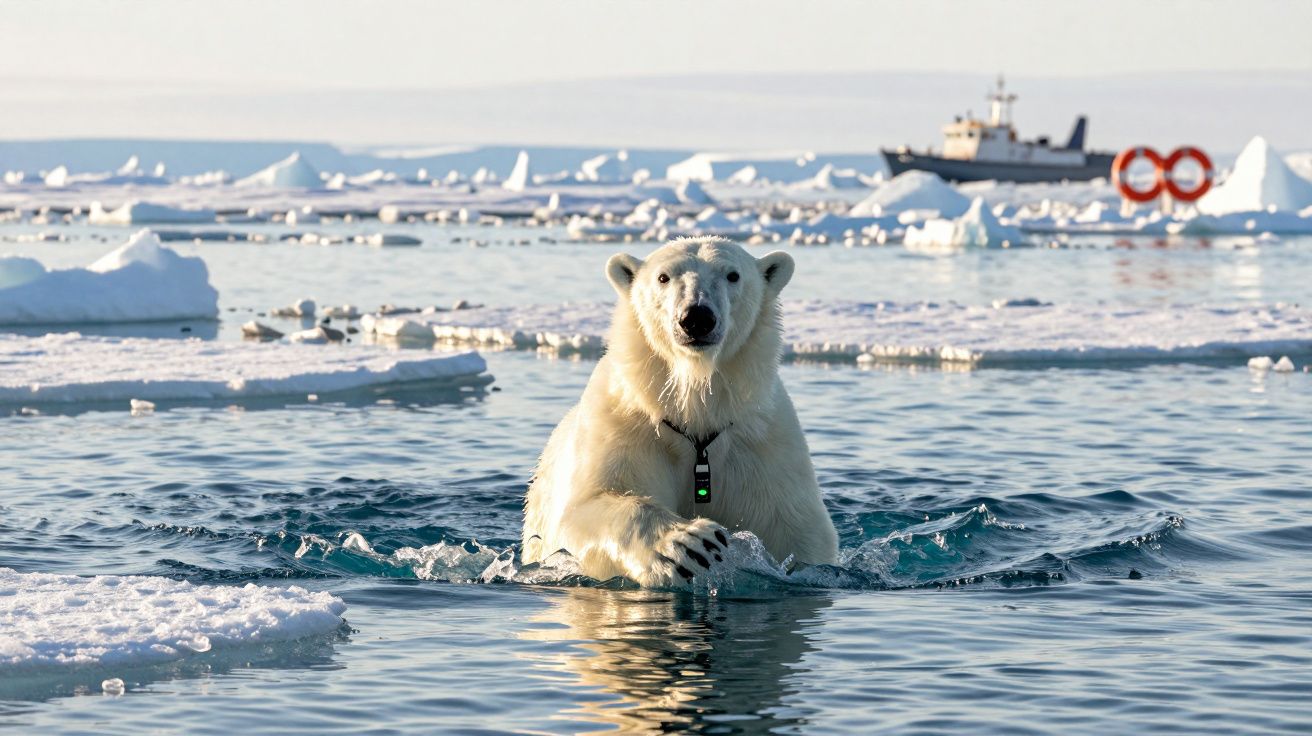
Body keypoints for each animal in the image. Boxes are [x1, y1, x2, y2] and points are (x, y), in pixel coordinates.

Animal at [521, 236, 839, 587]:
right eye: (663, 277)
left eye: (732, 275)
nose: (697, 317)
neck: (695, 412)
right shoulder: (624, 425)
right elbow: (584, 510)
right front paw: (689, 545)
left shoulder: (763, 445)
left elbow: (795, 529)